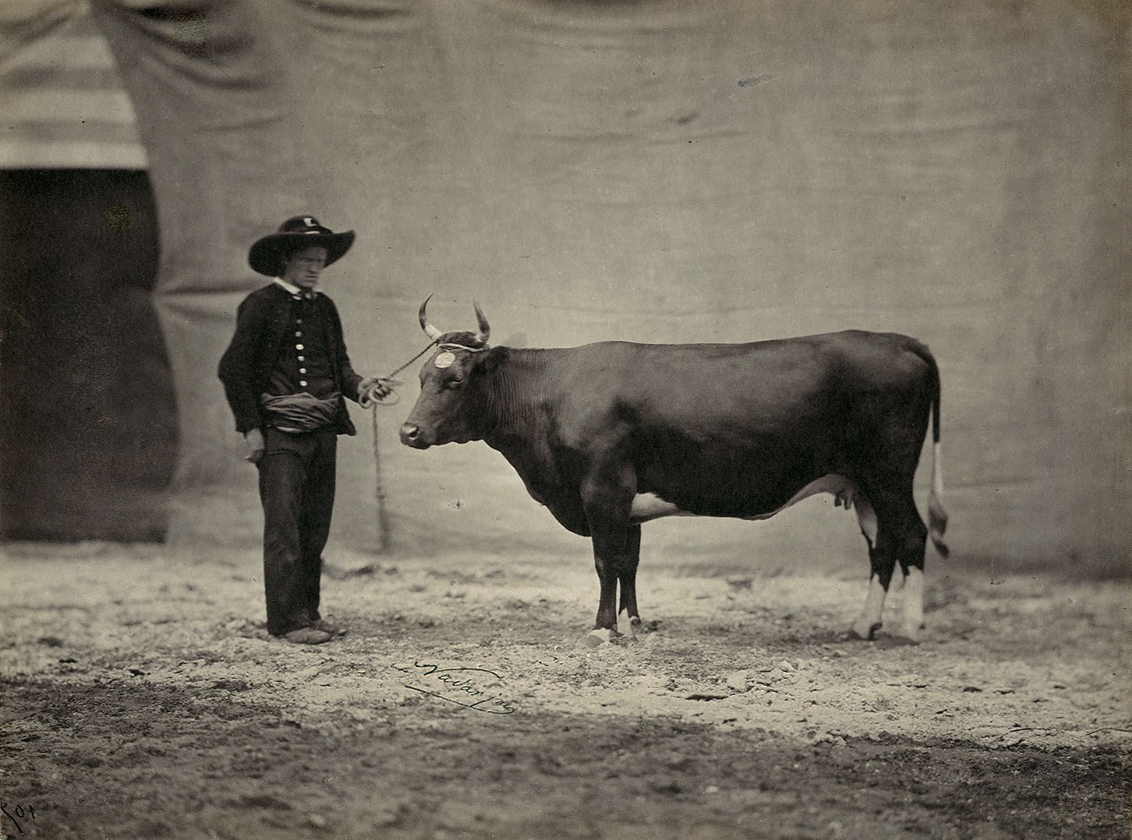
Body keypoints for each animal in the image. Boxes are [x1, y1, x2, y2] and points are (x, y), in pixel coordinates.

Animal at [400, 298, 949, 645]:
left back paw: (909, 629)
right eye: (423, 376)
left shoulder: (602, 489)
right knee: (882, 545)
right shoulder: (627, 501)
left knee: (912, 536)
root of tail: (900, 341)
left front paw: (602, 629)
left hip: (889, 474)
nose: (407, 431)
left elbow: (605, 561)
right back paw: (862, 626)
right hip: (862, 484)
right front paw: (634, 624)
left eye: (455, 380)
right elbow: (629, 563)